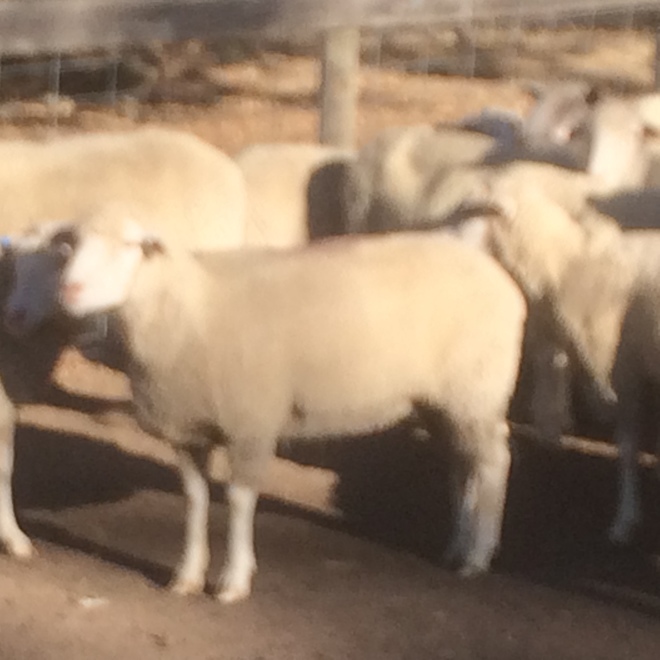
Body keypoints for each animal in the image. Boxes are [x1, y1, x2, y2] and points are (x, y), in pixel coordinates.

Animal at [39, 207, 526, 603]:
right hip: (444, 399)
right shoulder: (187, 426)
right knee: (463, 465)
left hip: (477, 388)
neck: (187, 308)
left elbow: (238, 501)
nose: (69, 290)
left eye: (131, 247)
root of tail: (485, 263)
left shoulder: (250, 423)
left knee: (494, 462)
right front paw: (187, 575)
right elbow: (196, 500)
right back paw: (456, 545)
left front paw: (233, 581)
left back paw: (477, 555)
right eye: (70, 246)